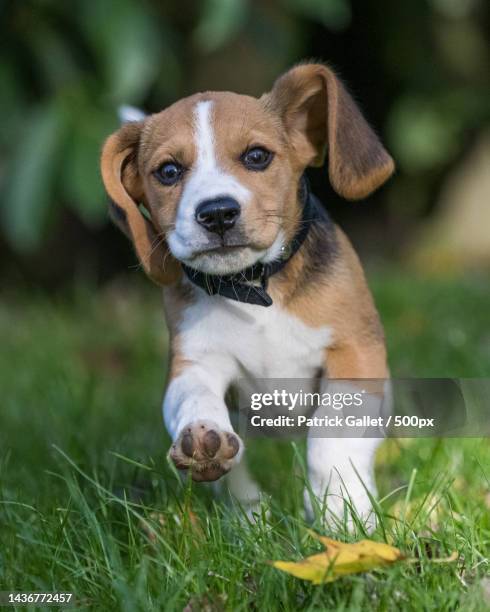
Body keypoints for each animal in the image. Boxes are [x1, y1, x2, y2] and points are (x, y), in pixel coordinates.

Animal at [100, 63, 394, 524]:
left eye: (257, 156)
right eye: (168, 171)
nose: (217, 212)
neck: (255, 288)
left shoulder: (354, 353)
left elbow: (329, 442)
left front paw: (341, 515)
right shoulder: (195, 361)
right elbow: (195, 398)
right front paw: (203, 436)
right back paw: (248, 516)